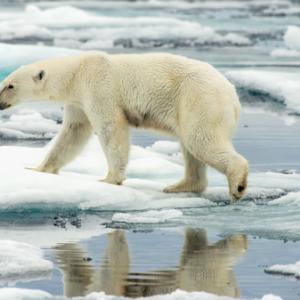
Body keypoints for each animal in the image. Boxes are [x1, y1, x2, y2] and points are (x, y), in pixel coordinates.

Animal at [0, 52, 248, 202]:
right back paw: (180, 186)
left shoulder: (99, 87)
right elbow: (73, 133)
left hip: (199, 99)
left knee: (201, 140)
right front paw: (38, 168)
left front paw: (110, 179)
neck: (77, 71)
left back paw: (237, 185)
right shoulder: (77, 102)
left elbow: (111, 128)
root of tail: (233, 94)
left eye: (10, 85)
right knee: (190, 147)